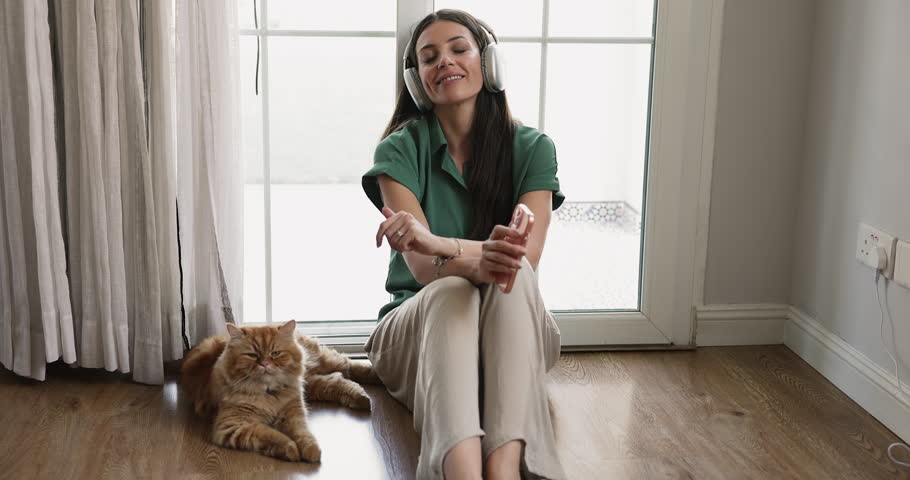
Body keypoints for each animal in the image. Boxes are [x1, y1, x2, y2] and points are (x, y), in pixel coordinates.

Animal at [182, 320, 382, 464]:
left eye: (275, 353)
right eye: (252, 355)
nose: (264, 364)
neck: (270, 393)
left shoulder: (294, 412)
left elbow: (303, 434)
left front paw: (311, 451)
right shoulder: (234, 425)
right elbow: (272, 436)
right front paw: (292, 450)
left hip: (323, 365)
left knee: (348, 365)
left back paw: (376, 379)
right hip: (314, 384)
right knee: (337, 381)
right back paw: (362, 399)